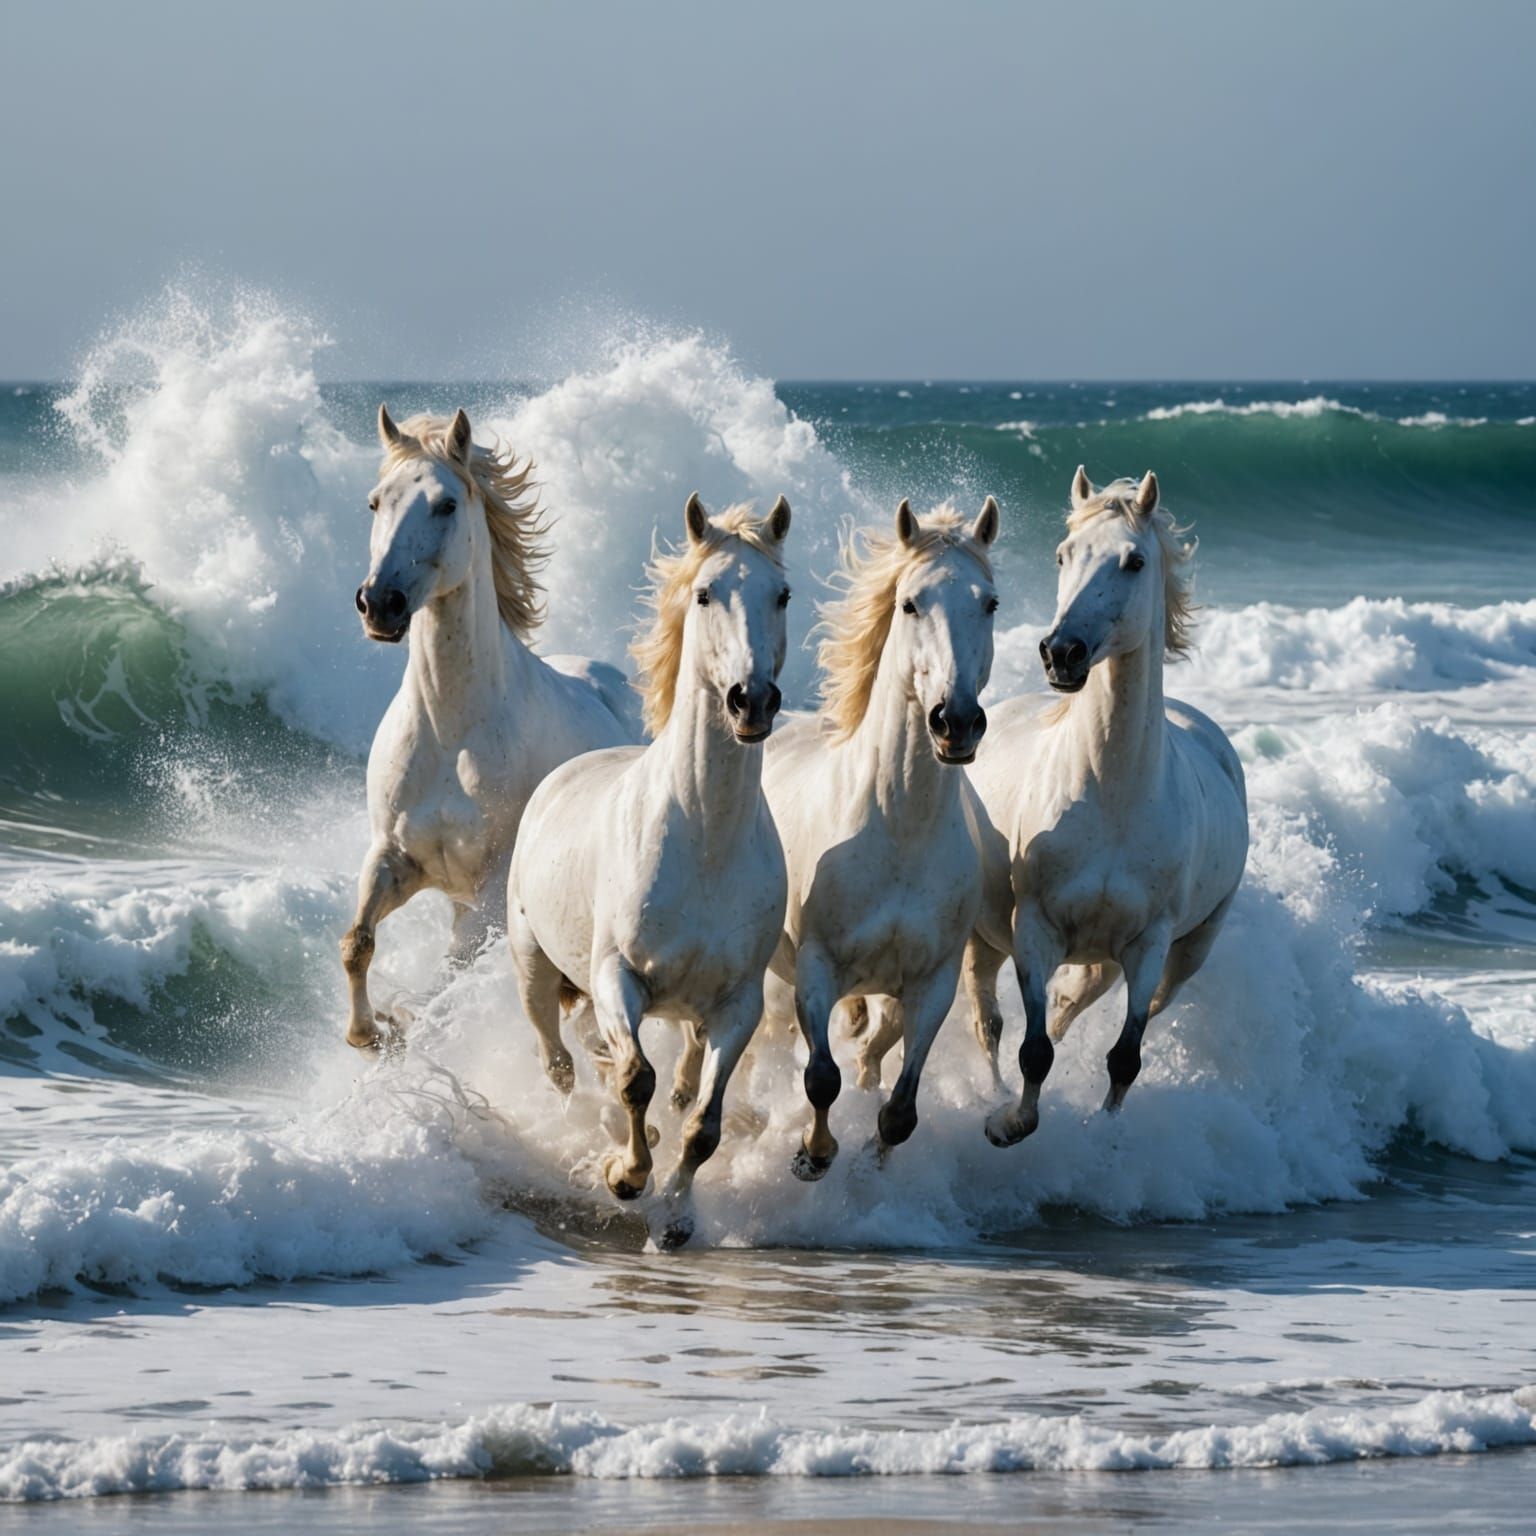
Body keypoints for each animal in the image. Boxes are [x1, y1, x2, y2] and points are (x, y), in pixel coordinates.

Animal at [342, 406, 639, 1052]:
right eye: (375, 502)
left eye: (446, 504)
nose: (380, 604)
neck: (450, 732)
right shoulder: (391, 857)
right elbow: (357, 943)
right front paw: (366, 1033)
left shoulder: (489, 895)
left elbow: (443, 984)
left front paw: (398, 1028)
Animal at [507, 493, 794, 1249]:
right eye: (705, 593)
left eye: (781, 594)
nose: (752, 700)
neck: (705, 839)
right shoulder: (618, 977)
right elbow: (635, 1078)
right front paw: (625, 1176)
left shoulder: (737, 1006)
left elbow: (703, 1124)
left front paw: (675, 1219)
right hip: (536, 972)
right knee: (560, 1063)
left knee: (675, 1079)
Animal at [761, 497, 1001, 1178]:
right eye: (911, 603)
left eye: (990, 603)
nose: (956, 722)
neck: (900, 833)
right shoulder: (815, 968)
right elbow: (821, 1078)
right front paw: (812, 1156)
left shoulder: (933, 984)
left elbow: (899, 1109)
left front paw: (874, 1165)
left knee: (872, 1046)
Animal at [964, 467, 1248, 1145]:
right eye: (1063, 555)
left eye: (1134, 560)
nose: (1061, 652)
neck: (1111, 798)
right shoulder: (1034, 929)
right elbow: (1033, 1050)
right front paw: (1007, 1123)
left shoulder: (1148, 945)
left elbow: (1124, 1057)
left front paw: (1104, 1138)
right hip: (986, 936)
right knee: (988, 1020)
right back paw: (989, 1093)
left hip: (1178, 954)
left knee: (1080, 1005)